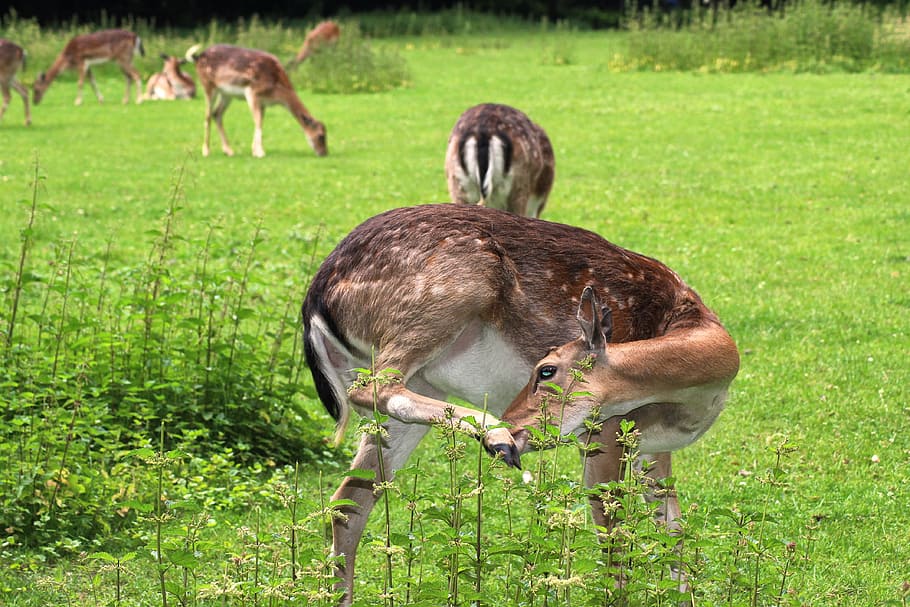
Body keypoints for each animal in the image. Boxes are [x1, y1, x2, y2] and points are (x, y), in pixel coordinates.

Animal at [189, 44, 328, 158]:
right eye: (321, 136)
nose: (324, 153)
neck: (276, 91)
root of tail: (198, 57)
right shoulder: (252, 92)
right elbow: (258, 121)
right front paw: (260, 152)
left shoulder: (263, 102)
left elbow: (260, 121)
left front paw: (256, 151)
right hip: (208, 86)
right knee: (207, 115)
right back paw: (206, 151)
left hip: (226, 94)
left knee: (217, 114)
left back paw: (228, 151)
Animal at [302, 203, 740, 606]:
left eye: (546, 371)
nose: (514, 423)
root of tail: (316, 299)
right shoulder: (605, 430)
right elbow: (612, 532)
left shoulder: (653, 447)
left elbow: (674, 531)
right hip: (448, 294)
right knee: (372, 389)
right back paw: (494, 436)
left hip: (417, 388)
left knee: (349, 499)